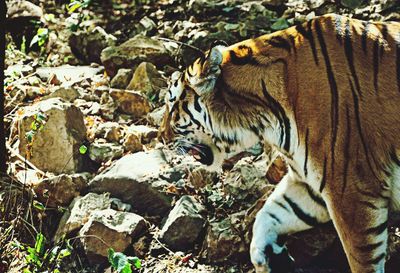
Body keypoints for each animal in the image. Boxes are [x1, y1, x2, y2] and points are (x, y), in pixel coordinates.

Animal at [158, 13, 400, 270]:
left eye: (172, 105)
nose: (161, 137)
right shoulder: (309, 185)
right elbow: (267, 217)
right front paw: (273, 258)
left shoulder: (352, 191)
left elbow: (362, 261)